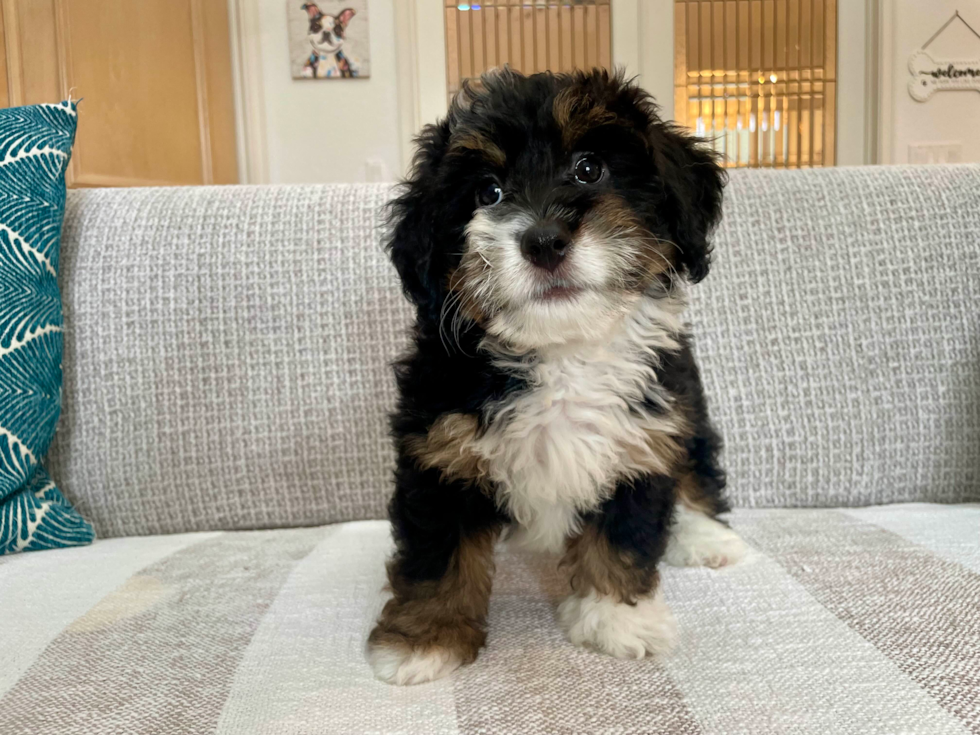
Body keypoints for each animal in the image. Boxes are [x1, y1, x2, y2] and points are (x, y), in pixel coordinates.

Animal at [368, 72, 744, 688]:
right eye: (488, 193)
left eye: (590, 167)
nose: (543, 239)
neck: (562, 351)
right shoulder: (439, 452)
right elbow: (437, 553)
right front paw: (426, 640)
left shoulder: (642, 440)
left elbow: (625, 534)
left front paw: (616, 617)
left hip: (686, 412)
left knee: (695, 469)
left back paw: (707, 538)